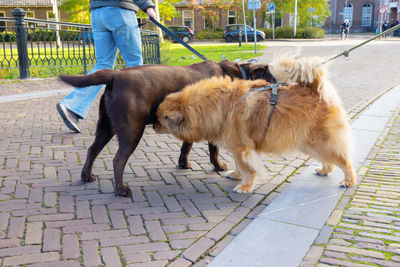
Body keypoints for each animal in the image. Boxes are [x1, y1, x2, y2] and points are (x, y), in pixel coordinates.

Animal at [60, 59, 276, 197]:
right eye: (274, 79)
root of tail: (116, 75)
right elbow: (213, 150)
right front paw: (219, 167)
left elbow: (186, 146)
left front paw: (183, 164)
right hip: (132, 130)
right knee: (118, 160)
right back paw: (121, 190)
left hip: (105, 127)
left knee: (92, 149)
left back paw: (86, 176)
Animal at [155, 57, 356, 194]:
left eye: (160, 119)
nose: (153, 126)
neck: (217, 105)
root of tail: (316, 91)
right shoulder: (237, 148)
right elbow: (239, 165)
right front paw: (236, 175)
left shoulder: (242, 148)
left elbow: (247, 169)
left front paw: (245, 186)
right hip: (310, 144)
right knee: (329, 161)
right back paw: (324, 171)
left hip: (319, 143)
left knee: (344, 160)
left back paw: (348, 181)